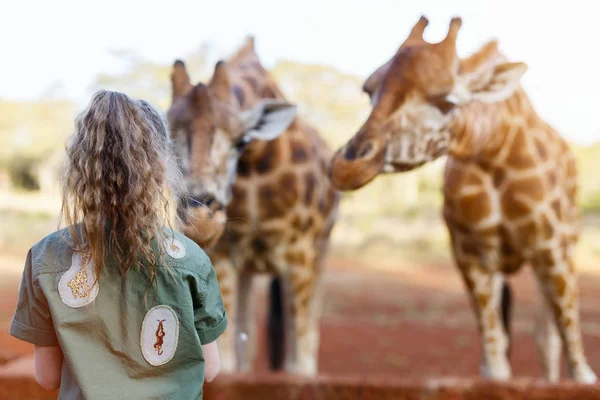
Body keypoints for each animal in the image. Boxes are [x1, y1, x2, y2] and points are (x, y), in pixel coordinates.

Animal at [166, 36, 340, 376]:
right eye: (165, 140)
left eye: (241, 141)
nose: (200, 220)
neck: (256, 169)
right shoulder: (224, 255)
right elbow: (230, 360)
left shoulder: (300, 253)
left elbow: (300, 361)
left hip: (321, 251)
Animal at [330, 17, 596, 382]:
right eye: (369, 90)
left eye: (448, 101)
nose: (346, 166)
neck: (493, 150)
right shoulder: (470, 253)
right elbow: (494, 365)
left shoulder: (551, 248)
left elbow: (577, 363)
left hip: (565, 245)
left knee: (548, 335)